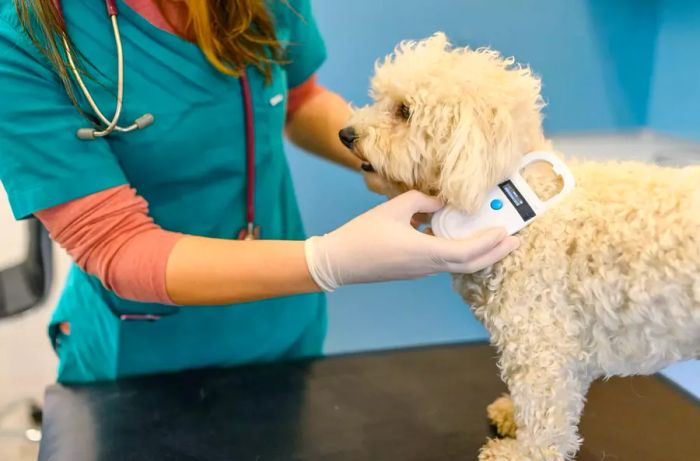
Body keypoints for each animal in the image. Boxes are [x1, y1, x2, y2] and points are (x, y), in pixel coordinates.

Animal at [342, 33, 696, 460]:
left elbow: (545, 416)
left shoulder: (540, 339)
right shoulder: (565, 344)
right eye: (379, 99)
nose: (345, 134)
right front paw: (512, 415)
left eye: (404, 111)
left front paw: (522, 452)